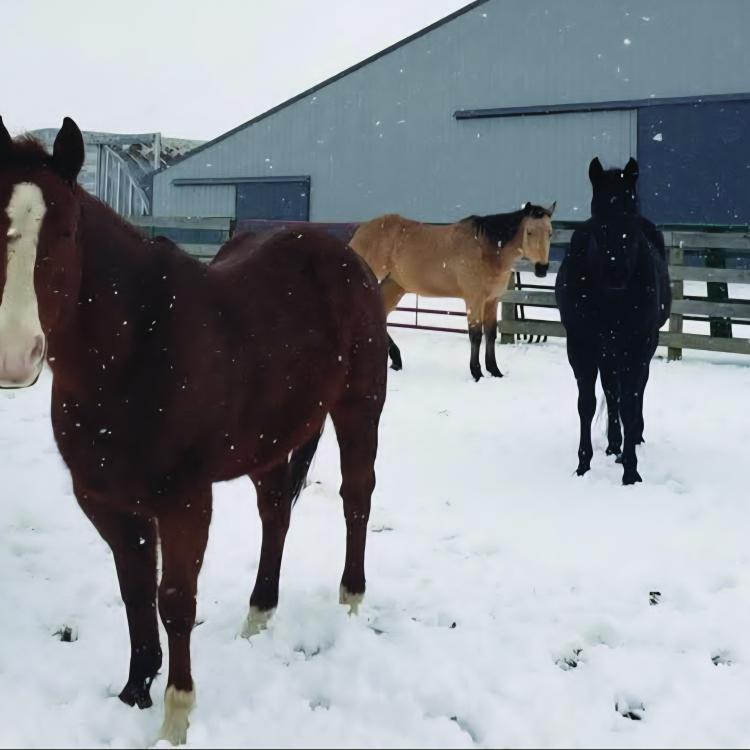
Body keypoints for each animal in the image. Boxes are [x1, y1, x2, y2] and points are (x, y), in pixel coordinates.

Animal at [0, 116, 388, 744]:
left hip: (359, 409)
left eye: (65, 232)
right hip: (269, 444)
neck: (134, 349)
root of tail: (344, 256)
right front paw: (135, 692)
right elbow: (135, 591)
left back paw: (350, 603)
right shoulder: (105, 501)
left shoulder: (184, 502)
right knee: (275, 513)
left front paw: (175, 718)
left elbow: (175, 601)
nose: (15, 357)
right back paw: (258, 616)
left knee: (357, 498)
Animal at [349, 203, 556, 381]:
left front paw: (495, 371)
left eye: (550, 233)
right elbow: (476, 335)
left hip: (394, 286)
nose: (542, 269)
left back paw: (395, 360)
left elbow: (490, 333)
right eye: (529, 232)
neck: (486, 249)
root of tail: (361, 230)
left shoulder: (492, 300)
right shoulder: (474, 299)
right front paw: (477, 373)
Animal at [555, 157, 671, 485]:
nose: (616, 273)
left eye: (630, 212)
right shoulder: (580, 346)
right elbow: (587, 404)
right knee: (611, 390)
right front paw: (583, 464)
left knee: (636, 391)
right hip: (607, 352)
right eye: (599, 215)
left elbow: (631, 402)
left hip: (637, 348)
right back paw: (612, 444)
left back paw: (632, 440)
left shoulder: (637, 346)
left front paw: (631, 471)